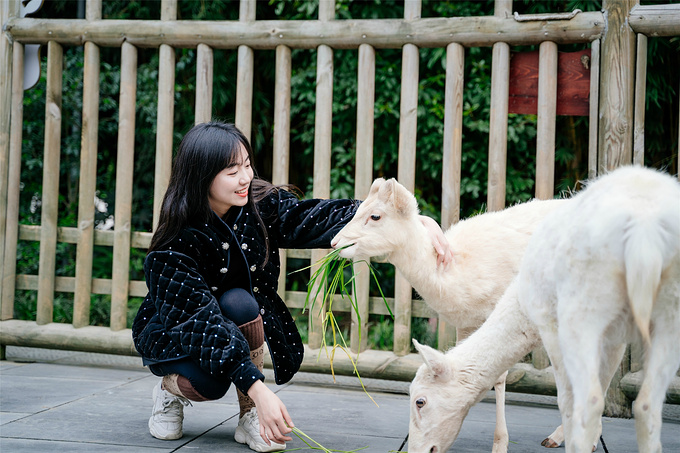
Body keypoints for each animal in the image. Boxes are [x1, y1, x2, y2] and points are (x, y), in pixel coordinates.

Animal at [332, 177, 564, 452]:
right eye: (358, 210)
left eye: (375, 216)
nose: (335, 243)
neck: (454, 272)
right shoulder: (467, 325)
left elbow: (500, 378)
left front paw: (500, 444)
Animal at [516, 166, 676, 452]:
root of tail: (644, 227)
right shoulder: (614, 338)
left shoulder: (550, 325)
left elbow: (567, 396)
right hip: (670, 316)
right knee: (647, 405)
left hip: (583, 313)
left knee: (588, 401)